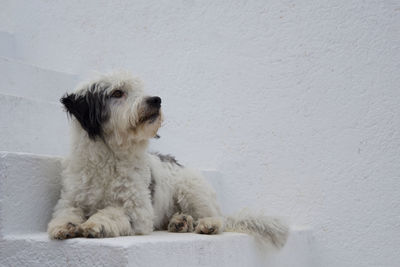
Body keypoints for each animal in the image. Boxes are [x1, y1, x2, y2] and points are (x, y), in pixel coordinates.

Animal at [47, 71, 290, 249]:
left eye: (141, 90)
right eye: (117, 92)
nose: (156, 100)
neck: (108, 158)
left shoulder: (138, 209)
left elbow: (112, 212)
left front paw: (96, 224)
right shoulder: (70, 200)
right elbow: (65, 214)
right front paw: (64, 226)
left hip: (192, 189)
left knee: (216, 217)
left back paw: (206, 224)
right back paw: (180, 222)